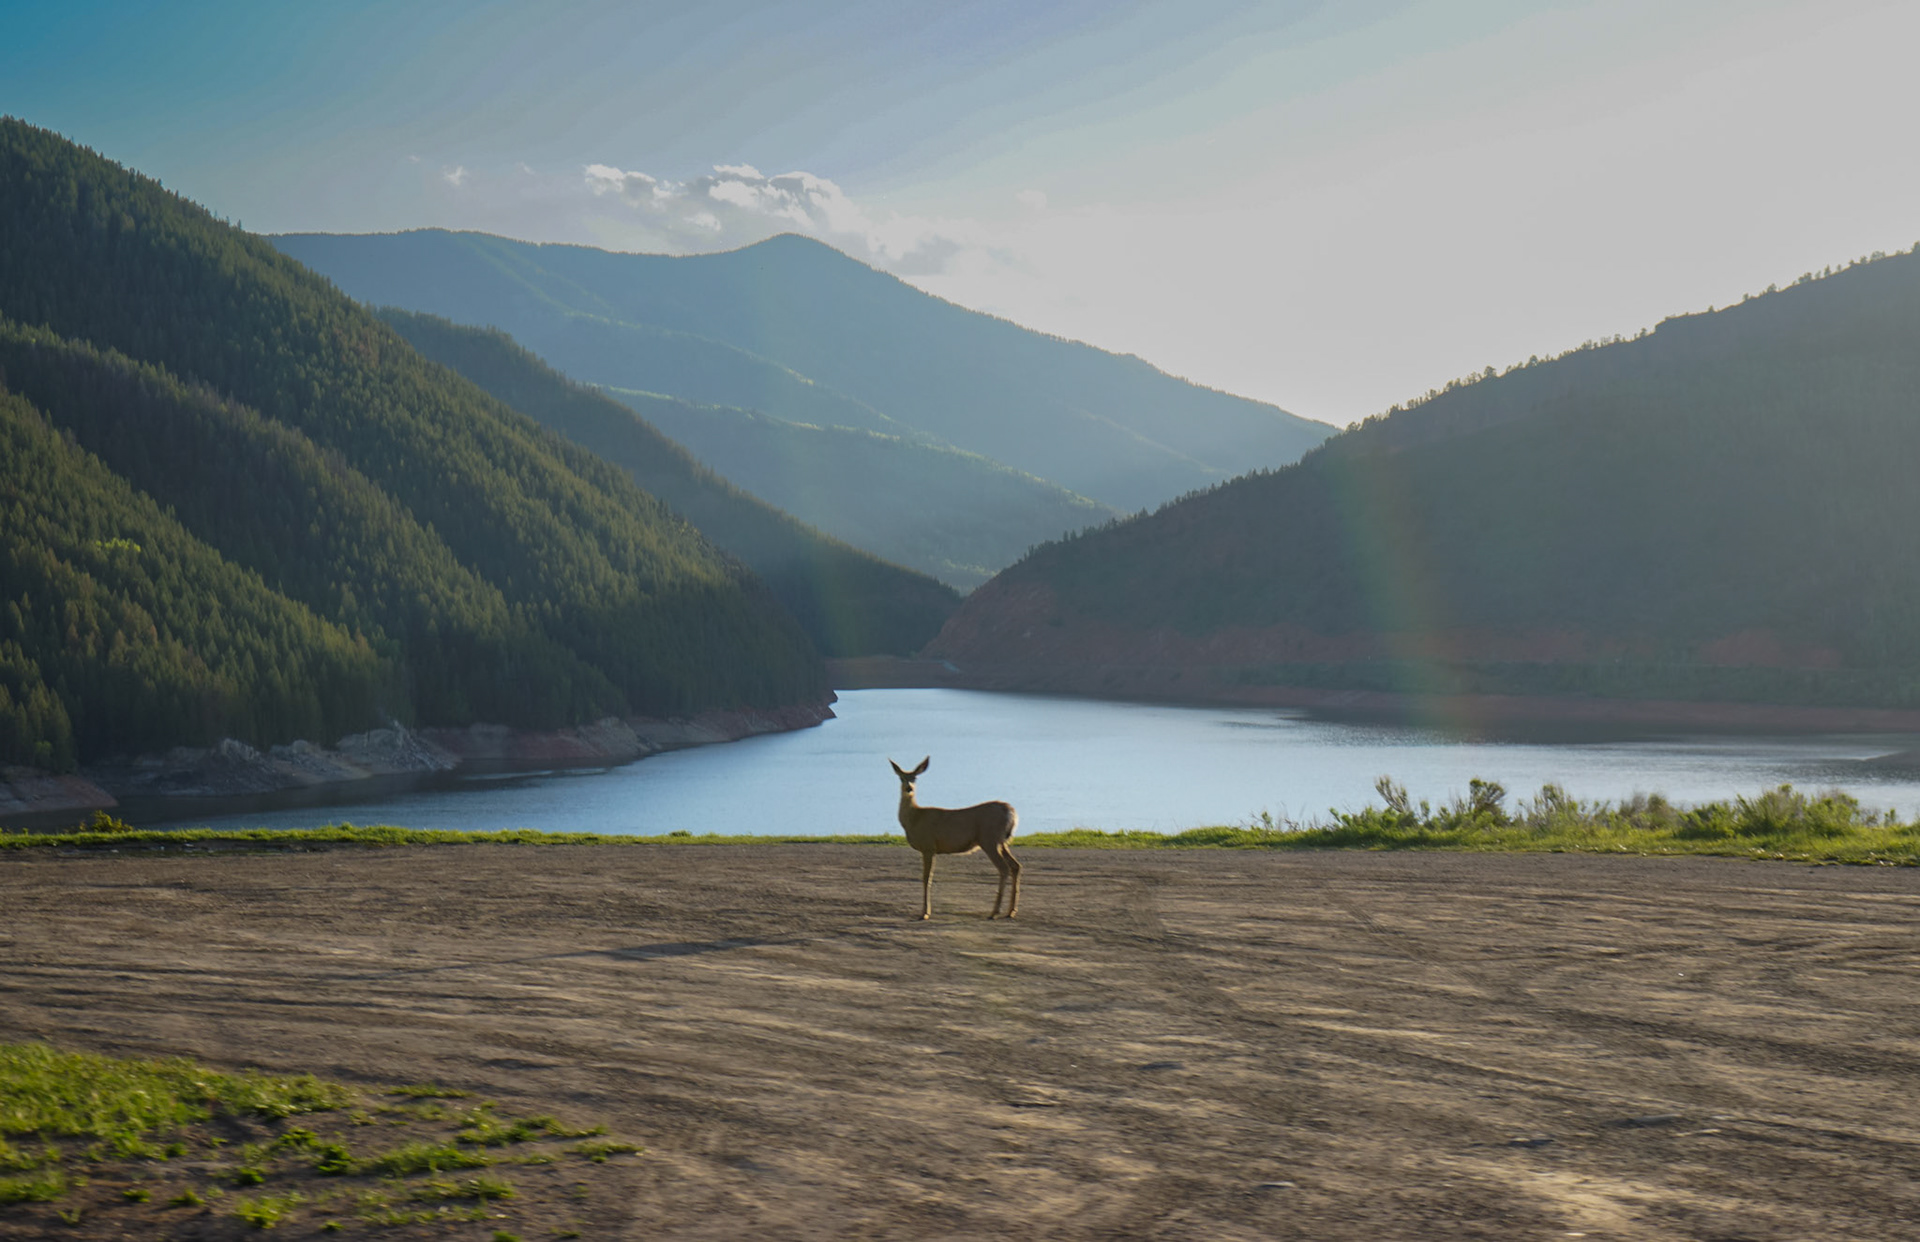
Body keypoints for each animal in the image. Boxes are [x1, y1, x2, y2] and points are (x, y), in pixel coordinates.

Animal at [889, 757, 1021, 921]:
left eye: (915, 778)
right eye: (901, 778)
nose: (909, 788)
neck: (914, 819)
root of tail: (1011, 812)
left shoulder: (928, 846)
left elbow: (926, 877)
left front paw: (925, 913)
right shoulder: (929, 848)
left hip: (989, 839)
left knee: (1004, 868)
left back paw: (994, 912)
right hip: (1001, 842)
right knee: (1016, 866)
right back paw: (1011, 911)